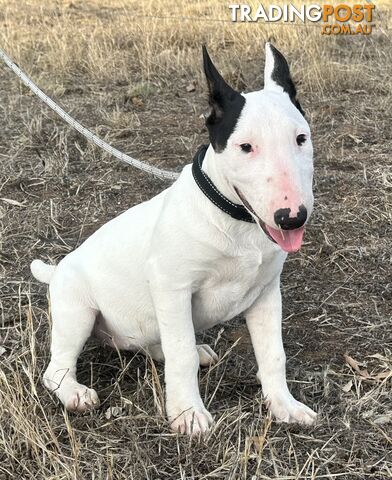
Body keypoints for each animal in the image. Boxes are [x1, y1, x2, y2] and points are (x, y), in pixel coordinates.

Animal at [31, 44, 318, 436]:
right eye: (245, 147)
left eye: (300, 138)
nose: (292, 217)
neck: (235, 220)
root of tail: (57, 270)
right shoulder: (172, 287)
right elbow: (180, 354)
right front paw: (187, 413)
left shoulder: (266, 294)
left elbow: (274, 353)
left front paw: (284, 406)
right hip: (77, 312)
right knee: (56, 367)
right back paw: (74, 393)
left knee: (151, 343)